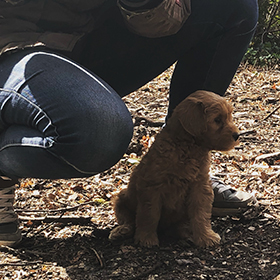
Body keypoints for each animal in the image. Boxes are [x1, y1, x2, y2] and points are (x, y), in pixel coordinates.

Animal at [109, 90, 238, 247]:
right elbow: (149, 214)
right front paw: (146, 238)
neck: (187, 147)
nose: (237, 135)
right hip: (121, 198)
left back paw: (186, 233)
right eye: (217, 119)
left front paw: (206, 236)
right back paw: (121, 231)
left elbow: (200, 213)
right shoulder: (152, 187)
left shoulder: (200, 186)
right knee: (128, 219)